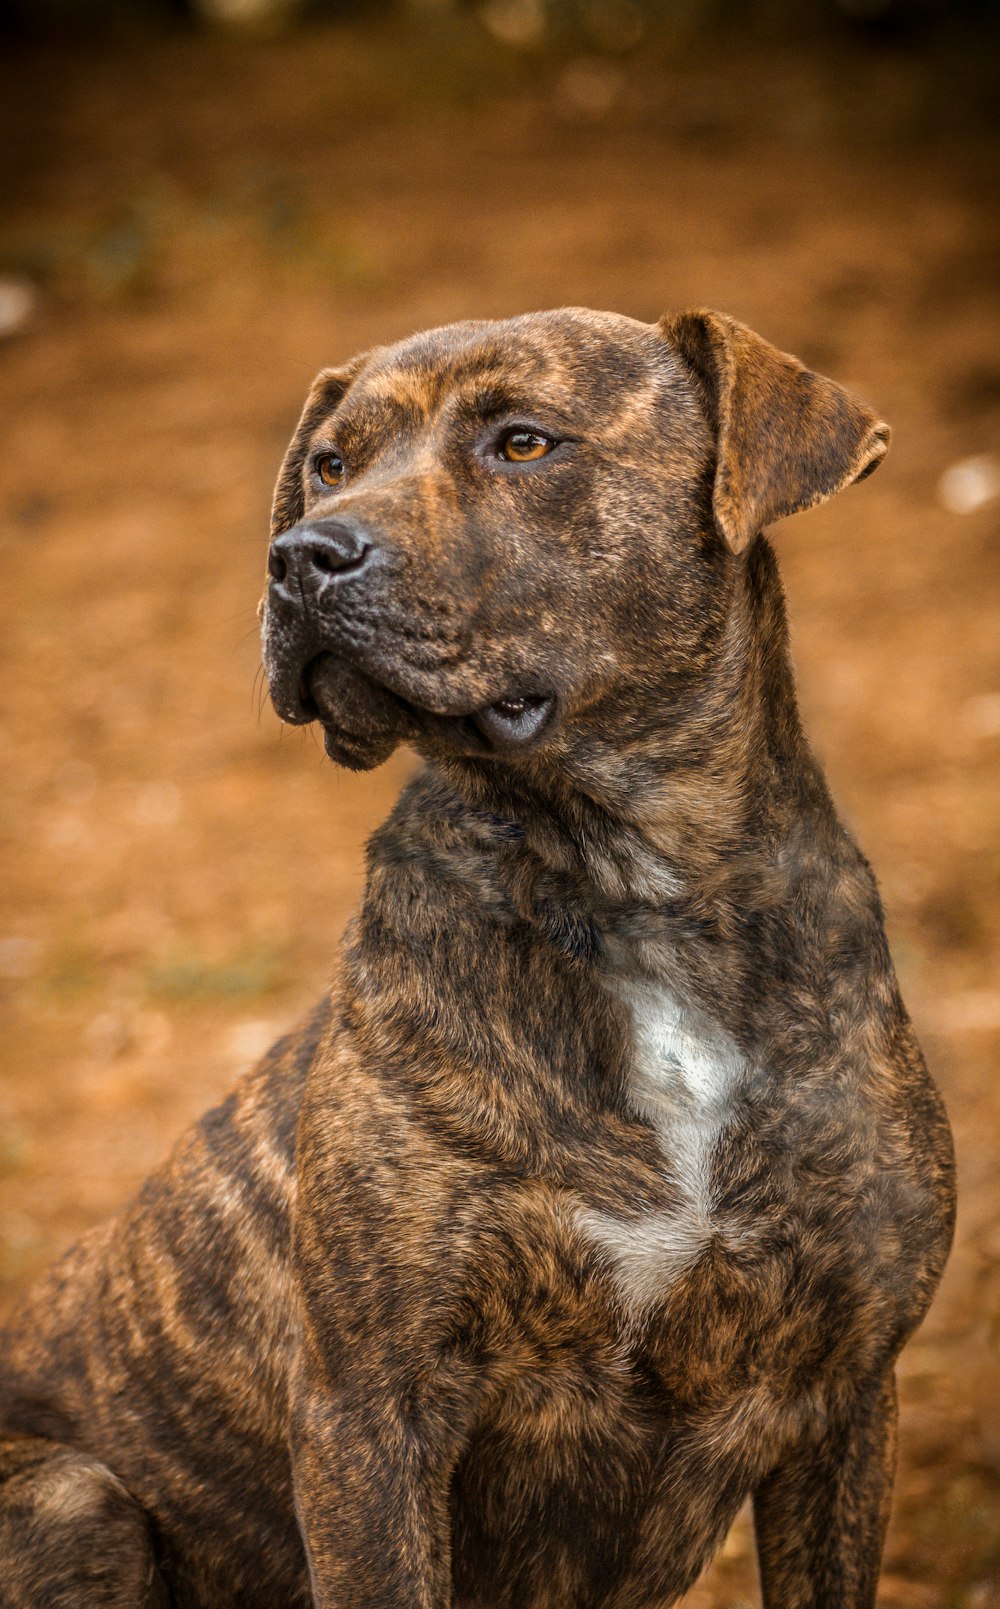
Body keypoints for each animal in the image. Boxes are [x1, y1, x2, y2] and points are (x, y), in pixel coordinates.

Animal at [0, 307, 958, 1602]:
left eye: (523, 443)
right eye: (330, 465)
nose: (298, 556)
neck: (628, 891)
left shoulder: (845, 1395)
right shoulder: (370, 1417)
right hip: (69, 1492)